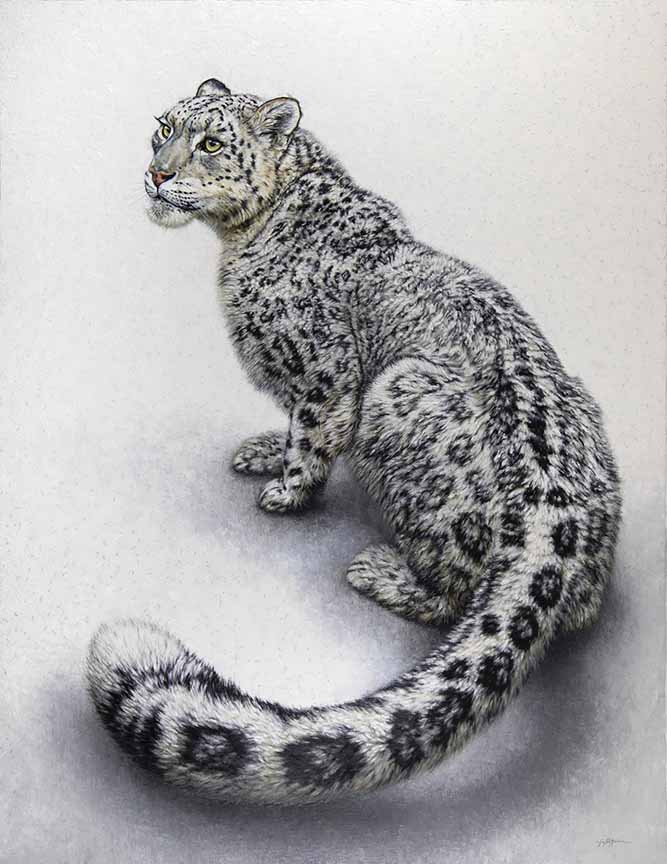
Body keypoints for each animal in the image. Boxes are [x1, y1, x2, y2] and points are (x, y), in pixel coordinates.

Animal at [86, 78, 621, 804]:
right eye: (162, 129)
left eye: (213, 142)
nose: (156, 174)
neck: (240, 241)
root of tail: (552, 514)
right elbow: (288, 426)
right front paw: (261, 450)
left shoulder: (324, 374)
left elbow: (312, 435)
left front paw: (285, 491)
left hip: (394, 405)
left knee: (451, 594)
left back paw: (379, 571)